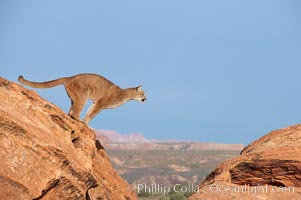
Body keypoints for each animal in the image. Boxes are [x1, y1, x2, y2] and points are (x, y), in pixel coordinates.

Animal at [17, 73, 146, 125]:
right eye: (143, 94)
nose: (146, 98)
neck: (125, 95)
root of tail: (70, 77)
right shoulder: (101, 103)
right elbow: (92, 114)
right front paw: (86, 122)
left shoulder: (95, 102)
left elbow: (89, 112)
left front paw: (86, 122)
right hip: (82, 97)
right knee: (75, 113)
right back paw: (79, 121)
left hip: (74, 98)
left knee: (71, 112)